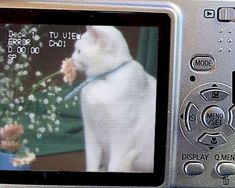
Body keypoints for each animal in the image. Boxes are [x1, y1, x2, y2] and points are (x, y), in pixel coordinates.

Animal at [71, 26, 156, 172]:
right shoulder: (90, 130)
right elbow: (91, 161)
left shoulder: (122, 136)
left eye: (79, 51)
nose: (71, 59)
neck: (102, 79)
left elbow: (114, 165)